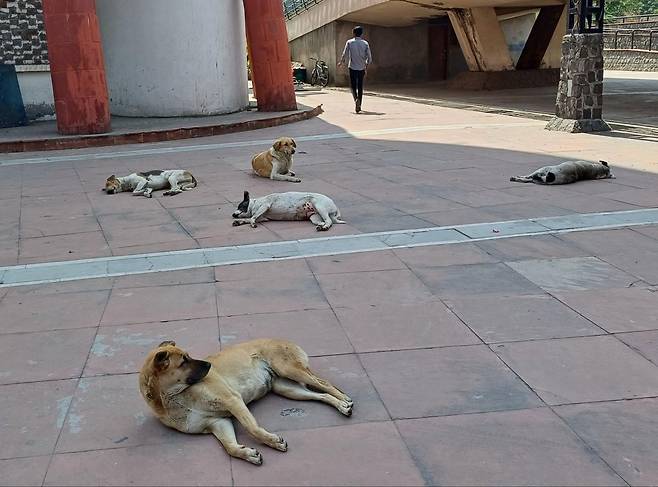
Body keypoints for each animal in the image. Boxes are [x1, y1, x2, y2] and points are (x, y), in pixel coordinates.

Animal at [139, 338, 354, 468]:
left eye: (188, 356)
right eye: (183, 362)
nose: (209, 365)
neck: (173, 397)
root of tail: (283, 339)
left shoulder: (233, 400)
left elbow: (253, 428)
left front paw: (272, 441)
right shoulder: (217, 423)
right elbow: (230, 447)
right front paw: (247, 453)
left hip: (289, 369)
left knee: (324, 384)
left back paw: (343, 400)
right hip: (288, 389)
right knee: (320, 395)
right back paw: (340, 405)